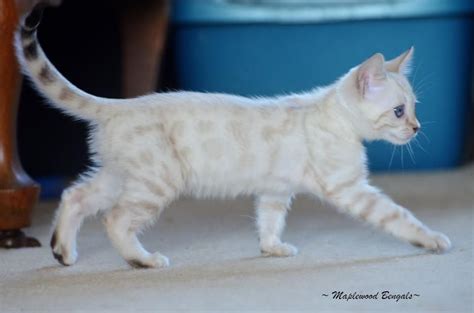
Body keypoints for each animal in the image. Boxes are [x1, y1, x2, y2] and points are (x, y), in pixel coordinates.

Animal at [16, 7, 450, 266]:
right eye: (399, 111)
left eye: (415, 107)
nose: (417, 127)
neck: (333, 117)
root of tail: (119, 105)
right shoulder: (350, 188)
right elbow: (398, 216)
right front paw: (431, 239)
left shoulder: (275, 190)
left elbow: (270, 221)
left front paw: (272, 249)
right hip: (154, 183)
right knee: (115, 219)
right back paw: (144, 260)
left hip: (120, 177)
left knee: (75, 196)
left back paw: (62, 251)